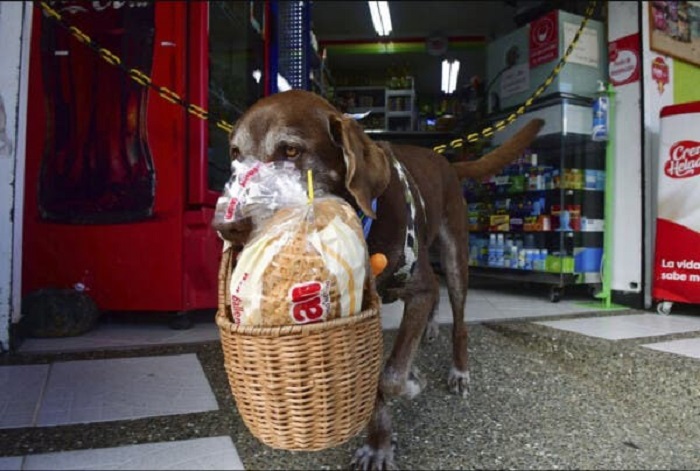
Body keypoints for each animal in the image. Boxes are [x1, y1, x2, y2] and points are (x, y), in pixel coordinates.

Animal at [215, 90, 548, 470]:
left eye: (291, 151)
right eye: (236, 155)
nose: (226, 226)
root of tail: (444, 159)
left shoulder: (418, 291)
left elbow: (391, 375)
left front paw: (411, 384)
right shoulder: (362, 312)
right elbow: (374, 378)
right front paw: (379, 443)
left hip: (455, 253)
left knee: (458, 315)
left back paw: (459, 369)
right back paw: (430, 329)